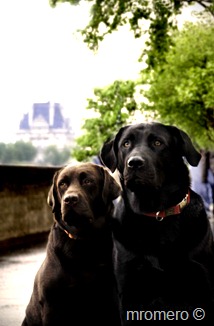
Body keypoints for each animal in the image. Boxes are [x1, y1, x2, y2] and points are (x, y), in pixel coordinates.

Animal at [22, 163, 122, 326]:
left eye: (88, 181)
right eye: (62, 184)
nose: (70, 199)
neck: (83, 239)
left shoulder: (112, 299)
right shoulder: (52, 305)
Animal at [100, 122, 214, 324]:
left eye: (158, 143)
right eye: (126, 143)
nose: (134, 163)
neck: (156, 214)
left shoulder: (202, 283)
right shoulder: (128, 290)